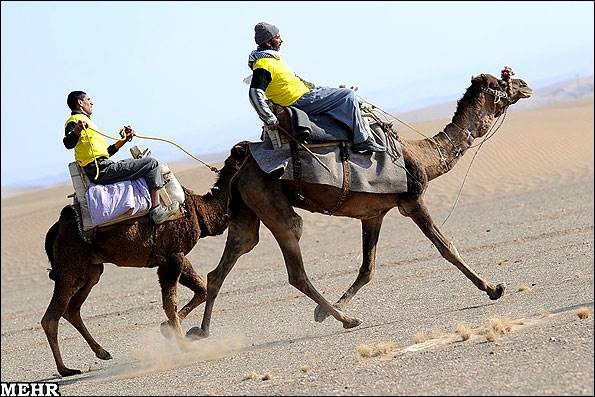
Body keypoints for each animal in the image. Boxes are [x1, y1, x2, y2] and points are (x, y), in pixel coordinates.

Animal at [42, 141, 247, 376]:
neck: (198, 210)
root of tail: (55, 229)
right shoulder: (172, 257)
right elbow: (170, 303)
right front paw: (183, 345)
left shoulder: (175, 255)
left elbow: (201, 289)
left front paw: (168, 329)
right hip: (70, 266)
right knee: (51, 317)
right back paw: (65, 369)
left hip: (91, 269)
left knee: (72, 309)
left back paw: (102, 353)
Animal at [187, 70, 536, 338]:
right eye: (503, 83)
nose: (526, 84)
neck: (423, 156)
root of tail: (240, 170)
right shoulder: (413, 200)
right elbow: (446, 247)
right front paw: (492, 288)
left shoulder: (373, 214)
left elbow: (368, 268)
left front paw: (323, 312)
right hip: (272, 203)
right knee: (294, 265)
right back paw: (348, 320)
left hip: (247, 211)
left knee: (229, 259)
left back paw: (200, 331)